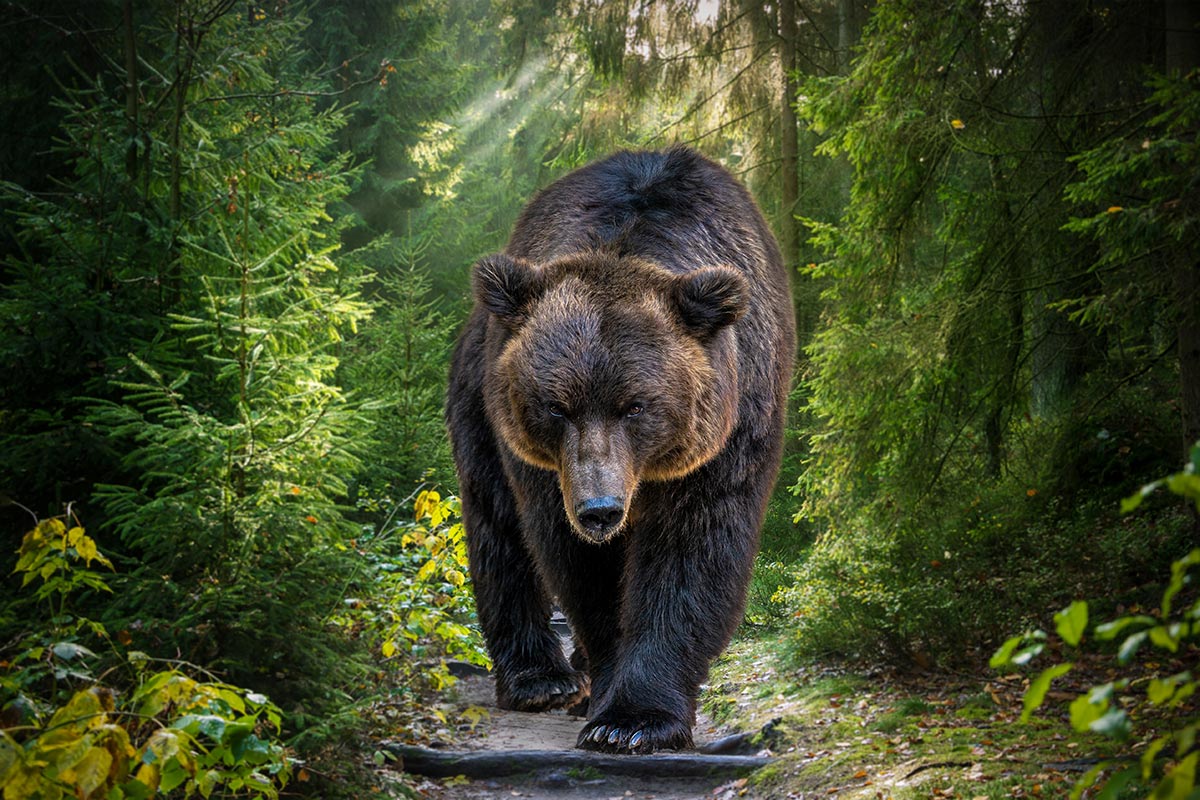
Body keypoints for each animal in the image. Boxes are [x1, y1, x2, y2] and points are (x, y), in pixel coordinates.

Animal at [446, 146, 792, 753]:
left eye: (636, 405)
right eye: (555, 406)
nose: (600, 510)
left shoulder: (726, 432)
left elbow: (691, 552)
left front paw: (634, 720)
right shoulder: (548, 466)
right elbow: (580, 566)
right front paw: (610, 700)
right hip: (479, 406)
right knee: (499, 528)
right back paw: (542, 680)